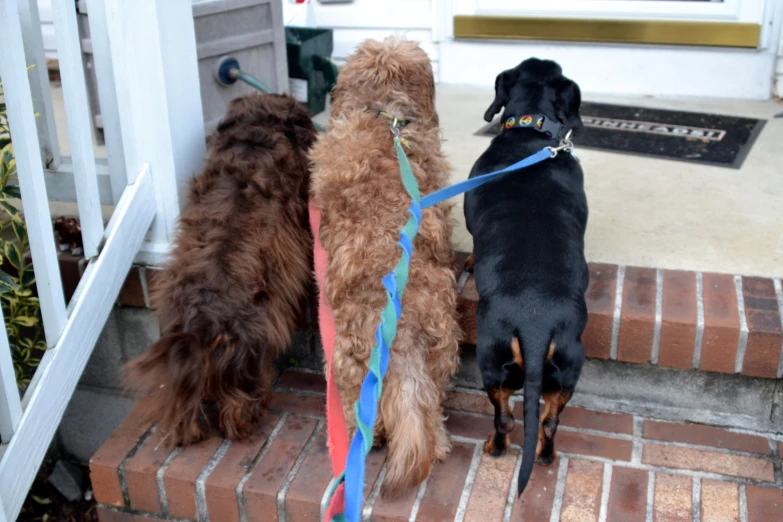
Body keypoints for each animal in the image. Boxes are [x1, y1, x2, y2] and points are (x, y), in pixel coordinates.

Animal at [125, 92, 316, 442]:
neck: (252, 142)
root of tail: (203, 325)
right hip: (249, 351)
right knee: (238, 402)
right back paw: (246, 421)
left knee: (186, 406)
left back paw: (189, 432)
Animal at [310, 37, 462, 496]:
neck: (385, 117)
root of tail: (402, 331)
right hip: (439, 352)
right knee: (429, 408)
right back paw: (438, 443)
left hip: (343, 365)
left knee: (362, 416)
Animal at [466, 58, 588, 496]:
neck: (530, 136)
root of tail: (535, 328)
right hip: (568, 371)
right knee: (550, 423)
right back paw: (545, 456)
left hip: (489, 362)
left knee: (504, 418)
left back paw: (494, 447)